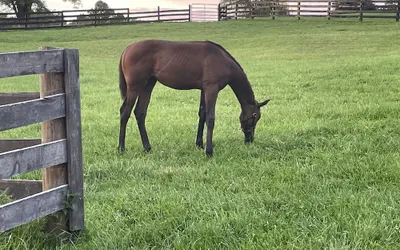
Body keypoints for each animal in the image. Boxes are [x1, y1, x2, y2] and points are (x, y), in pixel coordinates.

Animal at [117, 39, 270, 156]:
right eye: (255, 116)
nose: (250, 139)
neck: (222, 60)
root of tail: (127, 49)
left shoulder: (203, 89)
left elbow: (202, 114)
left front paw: (199, 144)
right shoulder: (211, 89)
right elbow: (210, 118)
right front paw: (209, 151)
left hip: (148, 84)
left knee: (140, 112)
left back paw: (147, 148)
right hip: (135, 86)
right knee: (125, 112)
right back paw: (121, 148)